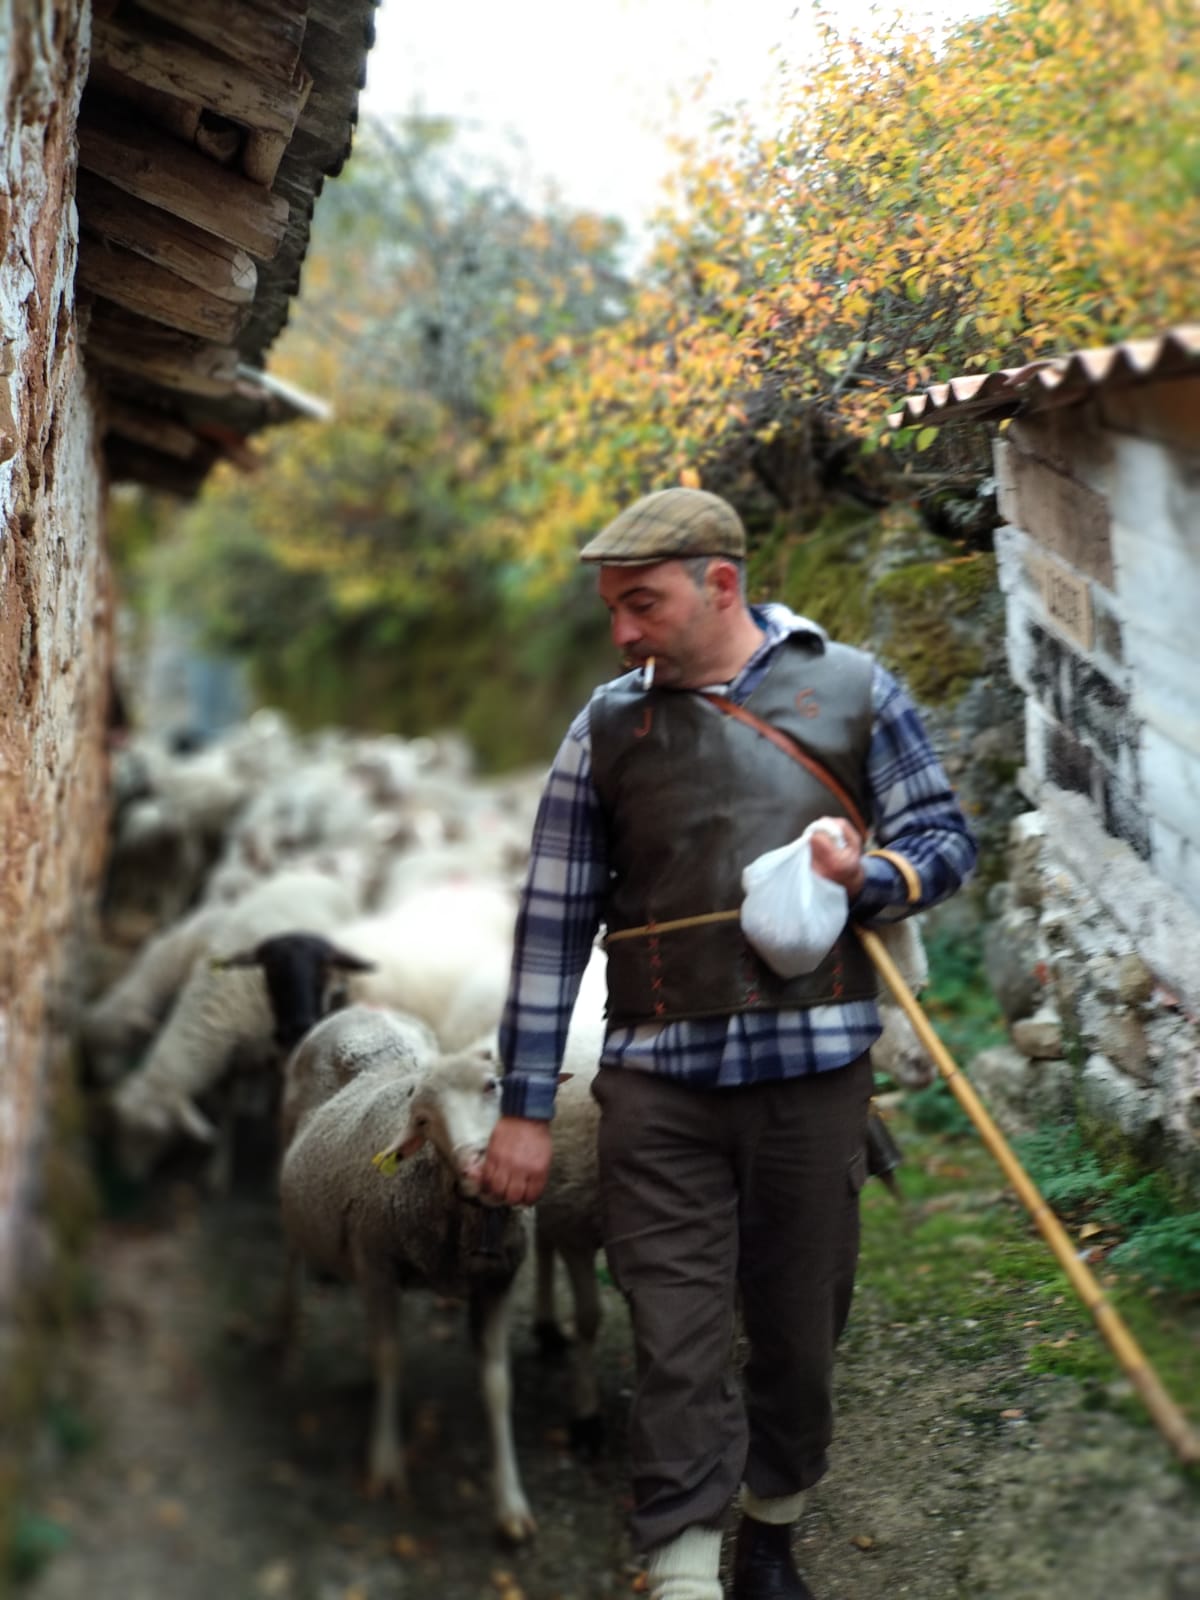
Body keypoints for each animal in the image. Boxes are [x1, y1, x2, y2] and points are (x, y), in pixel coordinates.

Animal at [280, 1004, 537, 1542]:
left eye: (493, 1087)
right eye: (423, 1120)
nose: (478, 1168)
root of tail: (363, 1008)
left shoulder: (498, 1282)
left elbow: (497, 1384)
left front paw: (510, 1504)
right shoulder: (377, 1263)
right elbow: (389, 1359)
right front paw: (384, 1464)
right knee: (292, 1256)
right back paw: (286, 1331)